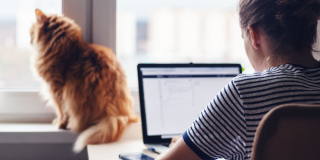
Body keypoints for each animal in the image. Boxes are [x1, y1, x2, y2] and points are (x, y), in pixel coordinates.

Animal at [30, 9, 139, 152]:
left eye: (31, 31)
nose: (30, 39)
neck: (66, 48)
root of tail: (118, 113)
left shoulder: (56, 88)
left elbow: (61, 111)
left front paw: (60, 123)